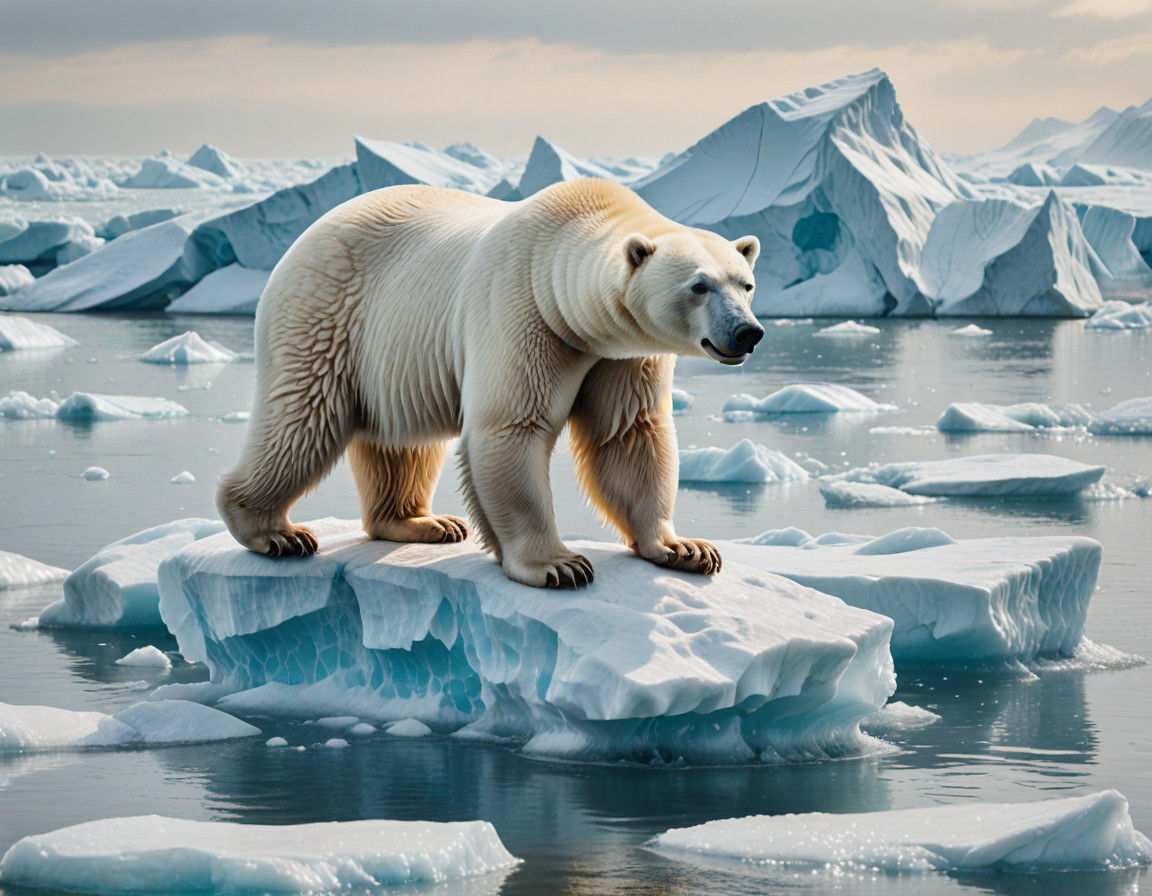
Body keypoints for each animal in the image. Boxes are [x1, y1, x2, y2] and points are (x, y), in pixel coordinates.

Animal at [216, 178, 763, 588]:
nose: (748, 332)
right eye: (699, 285)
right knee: (303, 420)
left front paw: (685, 548)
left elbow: (630, 434)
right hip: (327, 313)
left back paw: (423, 521)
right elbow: (512, 427)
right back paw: (273, 531)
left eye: (746, 283)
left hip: (393, 354)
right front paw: (559, 565)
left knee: (400, 440)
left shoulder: (622, 354)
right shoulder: (523, 311)